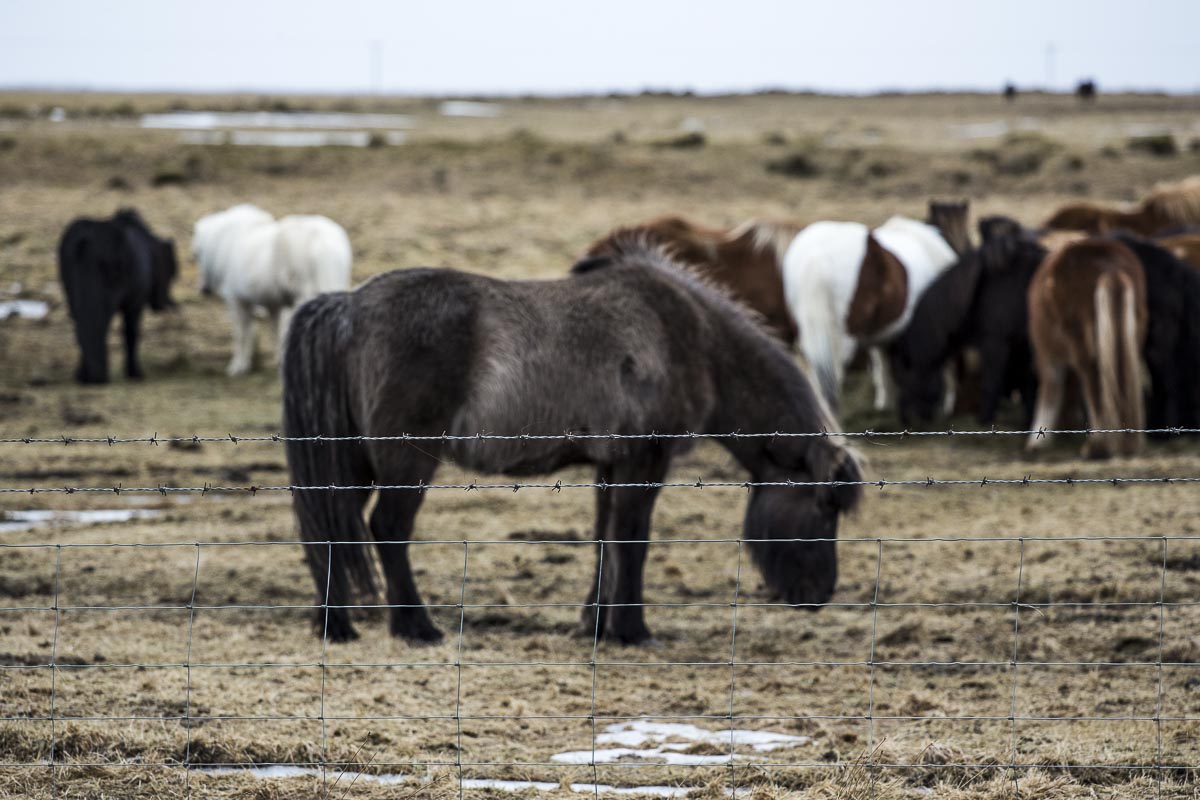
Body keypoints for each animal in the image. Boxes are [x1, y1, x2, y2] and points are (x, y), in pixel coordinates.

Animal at [58, 209, 178, 384]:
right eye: (173, 273)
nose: (167, 304)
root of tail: (85, 241)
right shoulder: (135, 302)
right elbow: (131, 332)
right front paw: (134, 373)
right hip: (104, 295)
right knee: (98, 324)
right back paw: (97, 375)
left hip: (74, 292)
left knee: (82, 326)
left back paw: (87, 375)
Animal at [193, 204, 352, 376]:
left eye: (198, 254)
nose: (204, 290)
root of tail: (324, 243)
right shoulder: (272, 305)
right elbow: (273, 333)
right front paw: (277, 362)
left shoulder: (235, 300)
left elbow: (242, 334)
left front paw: (238, 366)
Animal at [282, 237, 862, 645]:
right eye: (824, 505)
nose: (819, 596)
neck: (693, 338)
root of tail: (349, 306)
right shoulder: (646, 460)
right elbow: (633, 539)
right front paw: (632, 630)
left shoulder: (613, 464)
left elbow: (606, 538)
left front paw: (596, 622)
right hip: (407, 461)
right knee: (387, 529)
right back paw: (415, 627)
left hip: (357, 462)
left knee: (334, 526)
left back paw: (336, 624)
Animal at [1026, 238, 1147, 458]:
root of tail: (1111, 268)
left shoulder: (1046, 353)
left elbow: (1050, 389)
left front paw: (1037, 442)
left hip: (1082, 347)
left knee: (1093, 385)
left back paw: (1097, 446)